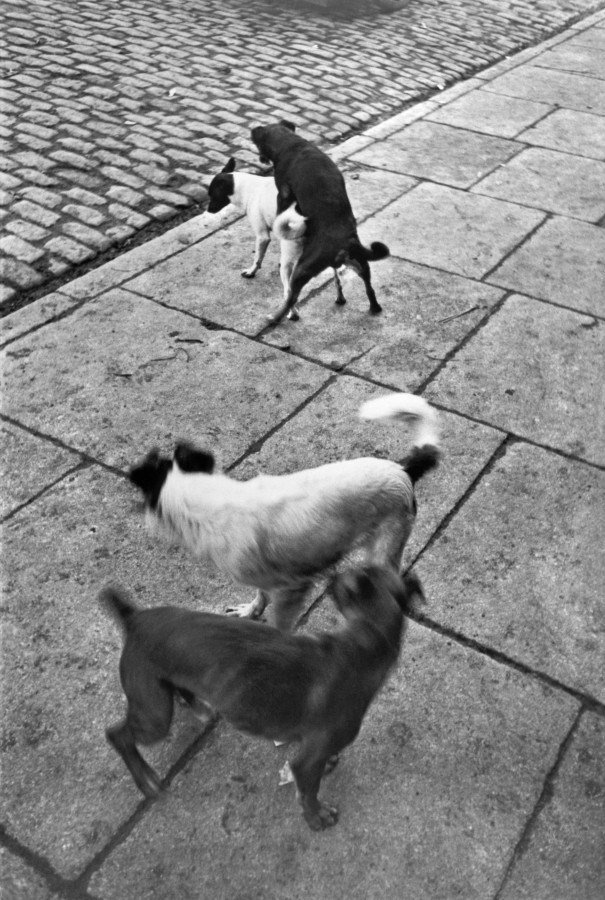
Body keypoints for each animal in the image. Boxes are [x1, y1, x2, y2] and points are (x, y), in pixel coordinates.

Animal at [100, 568, 420, 828]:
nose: (331, 574)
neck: (363, 642)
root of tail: (134, 617)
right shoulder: (306, 763)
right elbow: (309, 792)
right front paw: (316, 816)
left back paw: (199, 707)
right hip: (155, 716)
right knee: (118, 734)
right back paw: (145, 778)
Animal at [129, 394, 438, 632]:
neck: (203, 499)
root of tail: (403, 470)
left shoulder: (294, 589)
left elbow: (280, 623)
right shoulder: (265, 580)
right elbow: (261, 596)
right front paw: (250, 612)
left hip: (383, 550)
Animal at [205, 158, 346, 320]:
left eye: (212, 195)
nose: (207, 210)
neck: (247, 188)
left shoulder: (262, 236)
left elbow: (258, 258)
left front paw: (251, 272)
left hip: (287, 264)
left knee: (289, 293)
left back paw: (292, 313)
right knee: (337, 278)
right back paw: (340, 298)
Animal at [252, 120, 390, 326]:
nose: (261, 159)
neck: (292, 143)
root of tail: (346, 243)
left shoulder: (283, 193)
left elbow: (280, 209)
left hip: (302, 269)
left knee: (291, 297)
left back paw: (275, 317)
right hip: (359, 263)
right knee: (369, 287)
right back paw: (374, 307)